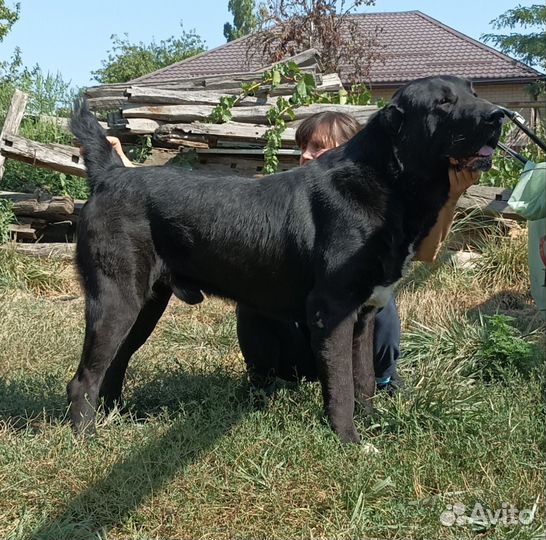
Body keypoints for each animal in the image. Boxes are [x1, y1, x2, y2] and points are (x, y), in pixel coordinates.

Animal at [68, 77, 502, 448]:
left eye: (473, 92)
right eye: (443, 102)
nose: (498, 115)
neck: (385, 180)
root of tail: (110, 175)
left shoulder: (363, 317)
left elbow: (362, 381)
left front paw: (373, 423)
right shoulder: (332, 312)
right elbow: (341, 385)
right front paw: (349, 441)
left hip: (146, 305)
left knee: (116, 362)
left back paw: (117, 417)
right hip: (117, 298)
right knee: (85, 377)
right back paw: (87, 439)